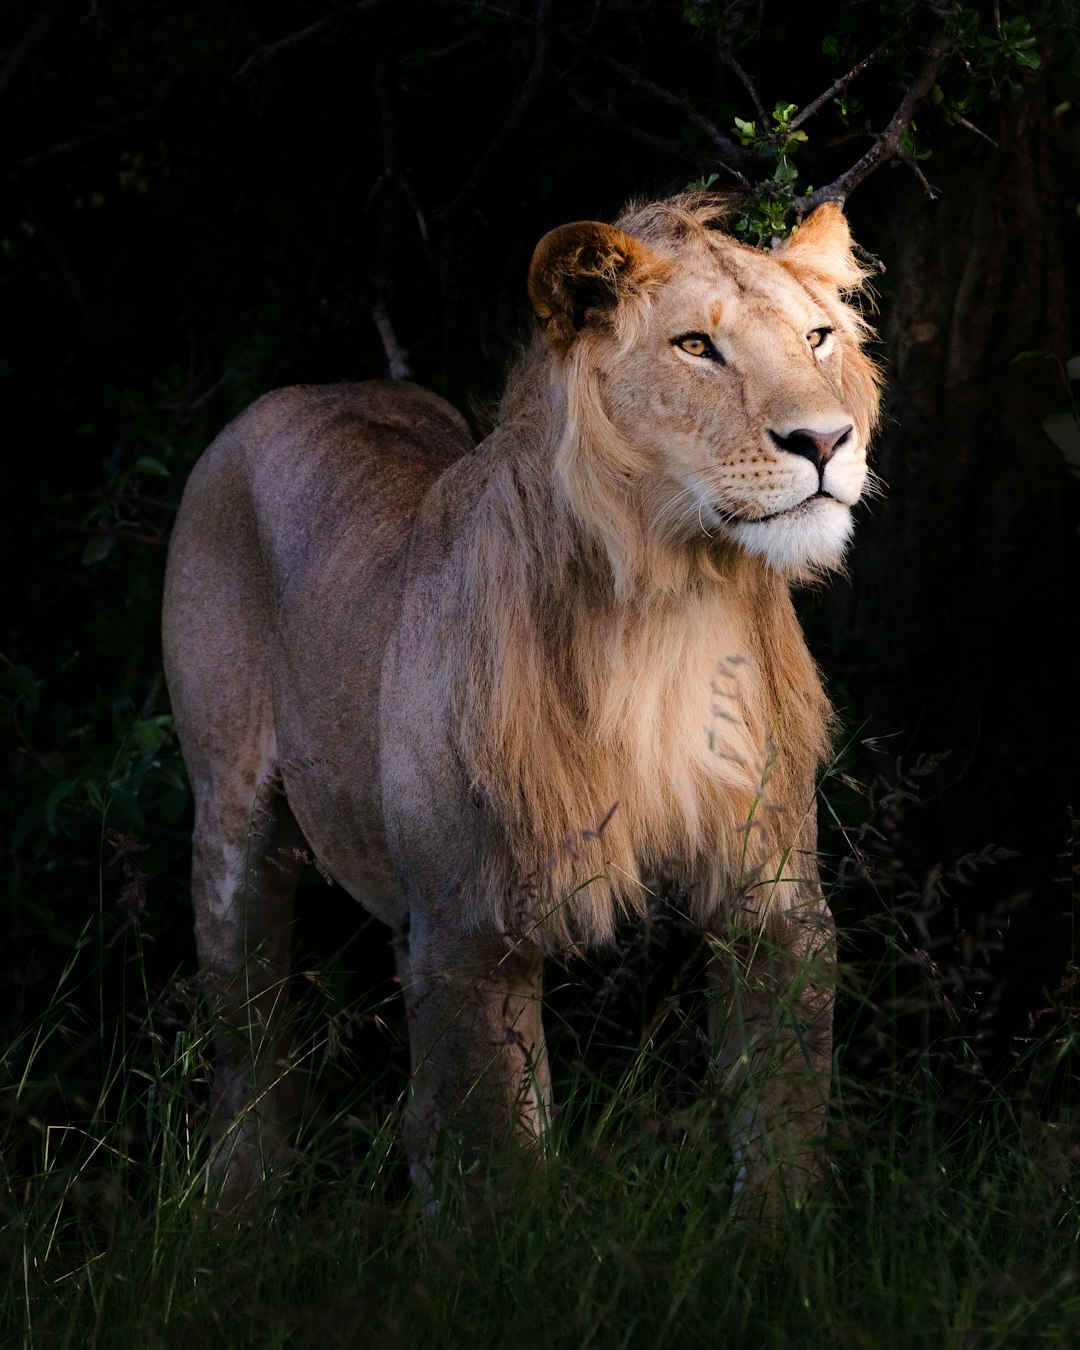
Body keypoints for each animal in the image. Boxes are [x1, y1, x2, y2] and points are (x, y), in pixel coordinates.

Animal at [164, 195, 880, 1220]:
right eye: (697, 346)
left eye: (817, 338)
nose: (825, 442)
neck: (671, 604)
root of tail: (307, 389)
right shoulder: (475, 923)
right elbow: (502, 1156)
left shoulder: (774, 893)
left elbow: (781, 1119)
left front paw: (770, 1244)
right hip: (230, 823)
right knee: (246, 1034)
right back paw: (238, 1198)